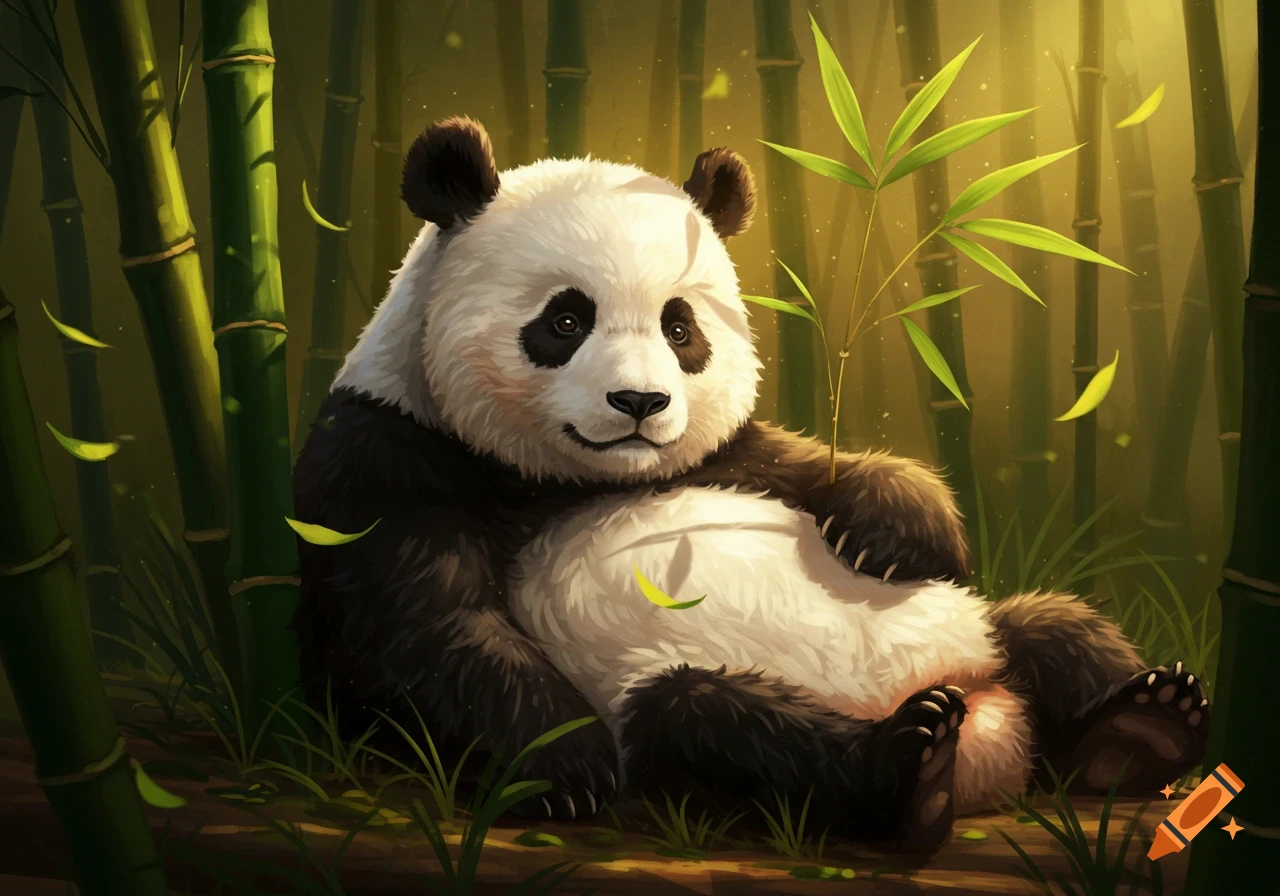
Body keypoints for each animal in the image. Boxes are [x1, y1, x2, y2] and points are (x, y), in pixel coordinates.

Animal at [292, 116, 1209, 853]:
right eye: (564, 319)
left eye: (680, 327)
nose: (641, 403)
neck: (568, 479)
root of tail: (994, 744)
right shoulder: (387, 455)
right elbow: (426, 629)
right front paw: (566, 763)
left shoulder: (727, 455)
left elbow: (818, 466)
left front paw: (893, 529)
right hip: (683, 696)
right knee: (723, 726)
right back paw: (911, 770)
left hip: (979, 631)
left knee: (1051, 624)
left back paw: (1142, 725)